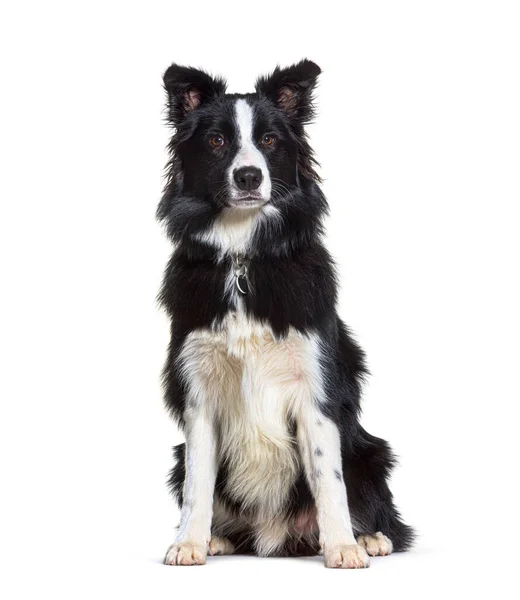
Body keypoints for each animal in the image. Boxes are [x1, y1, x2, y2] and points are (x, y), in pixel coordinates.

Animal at [158, 59, 414, 568]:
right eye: (216, 141)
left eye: (270, 139)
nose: (249, 177)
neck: (243, 257)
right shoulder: (199, 391)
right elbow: (198, 482)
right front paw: (189, 542)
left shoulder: (315, 387)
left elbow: (328, 479)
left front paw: (343, 548)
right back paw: (219, 538)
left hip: (370, 453)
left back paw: (370, 538)